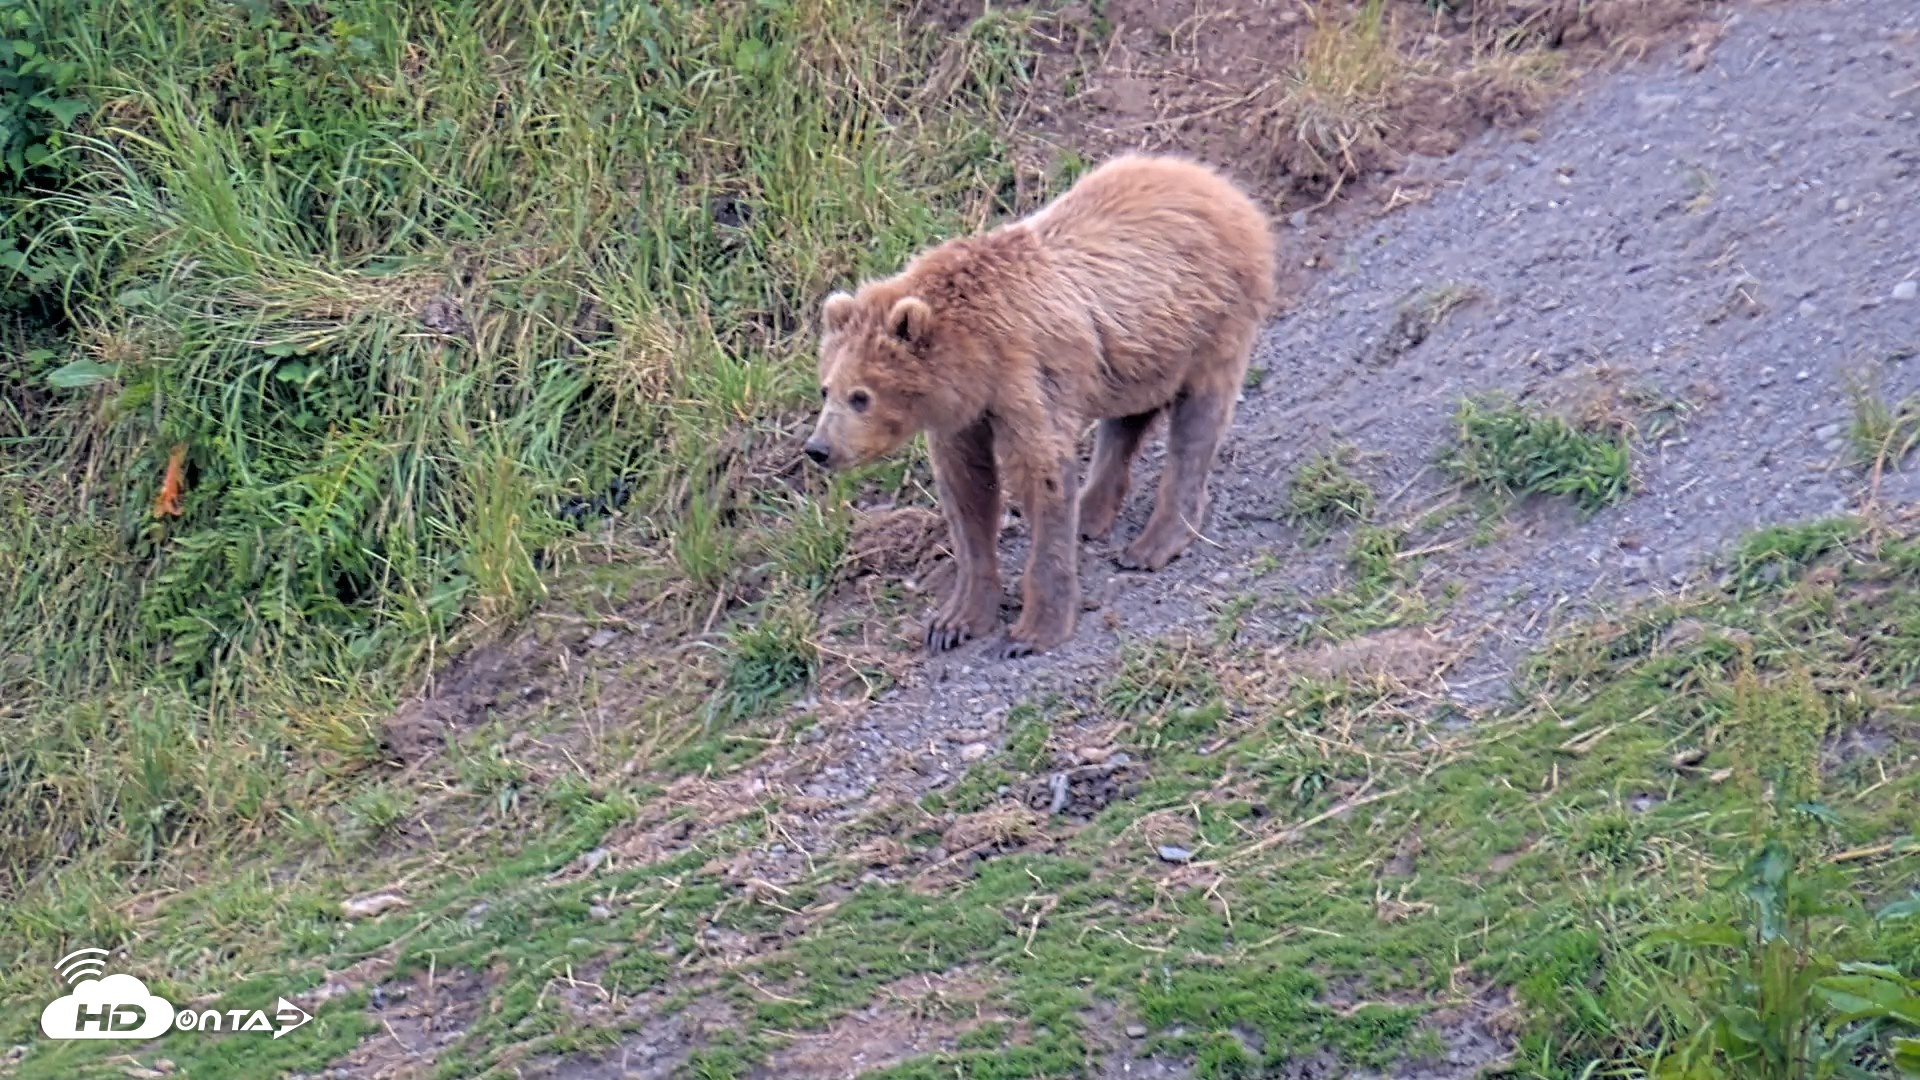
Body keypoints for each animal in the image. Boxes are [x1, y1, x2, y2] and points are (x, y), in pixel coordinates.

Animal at [803, 153, 1277, 659]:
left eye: (861, 395)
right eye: (826, 388)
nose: (819, 448)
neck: (973, 358)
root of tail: (1222, 186)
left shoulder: (1024, 377)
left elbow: (1042, 475)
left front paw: (1031, 629)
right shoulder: (963, 417)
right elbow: (967, 492)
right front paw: (953, 621)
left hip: (1211, 317)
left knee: (1197, 420)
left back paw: (1152, 542)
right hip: (1139, 350)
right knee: (1128, 416)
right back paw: (1091, 512)